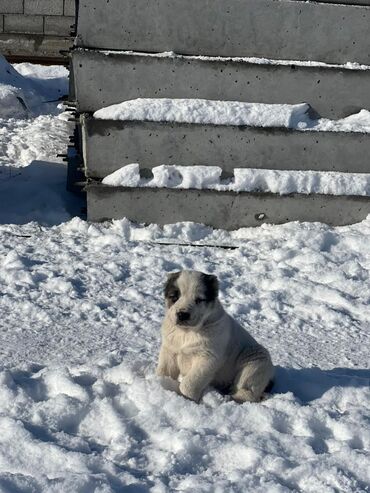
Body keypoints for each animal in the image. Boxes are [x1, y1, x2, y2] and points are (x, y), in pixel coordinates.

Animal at [156, 270, 274, 402]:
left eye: (199, 300)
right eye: (174, 297)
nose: (182, 314)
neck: (187, 332)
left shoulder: (208, 359)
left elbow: (189, 383)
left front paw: (188, 398)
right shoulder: (169, 351)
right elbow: (164, 371)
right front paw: (159, 383)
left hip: (256, 362)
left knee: (248, 393)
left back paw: (229, 398)